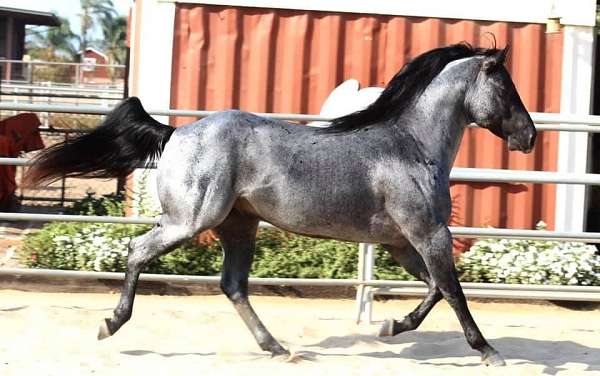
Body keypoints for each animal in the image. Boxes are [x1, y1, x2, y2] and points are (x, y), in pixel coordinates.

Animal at [28, 42, 536, 366]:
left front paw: (391, 326)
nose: (529, 136)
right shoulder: (428, 234)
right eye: (507, 88)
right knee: (138, 252)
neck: (410, 146)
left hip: (238, 224)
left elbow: (434, 289)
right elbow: (452, 289)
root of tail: (175, 133)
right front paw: (489, 351)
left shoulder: (404, 242)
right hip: (190, 220)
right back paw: (110, 324)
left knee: (233, 285)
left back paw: (277, 348)